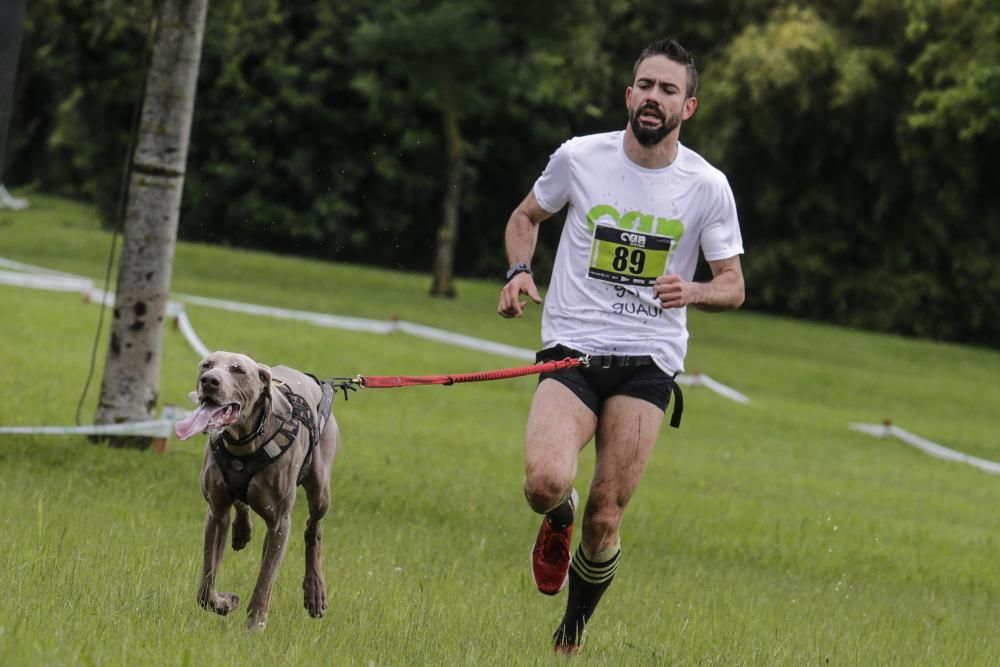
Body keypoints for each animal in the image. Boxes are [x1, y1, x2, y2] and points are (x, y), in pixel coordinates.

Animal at [174, 350, 342, 632]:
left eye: (238, 370)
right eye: (206, 365)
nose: (209, 381)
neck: (244, 443)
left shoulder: (280, 524)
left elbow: (265, 579)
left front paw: (254, 625)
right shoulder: (216, 513)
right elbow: (206, 583)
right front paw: (224, 602)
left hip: (320, 487)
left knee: (314, 529)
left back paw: (315, 592)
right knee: (242, 504)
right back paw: (242, 531)